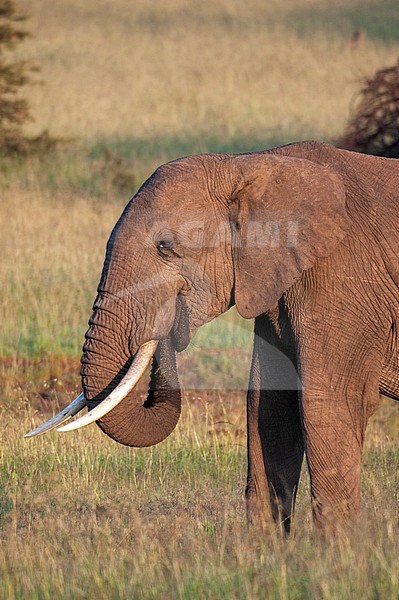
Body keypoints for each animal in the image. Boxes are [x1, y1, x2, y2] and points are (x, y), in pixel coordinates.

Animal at [25, 142, 399, 536]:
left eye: (165, 246)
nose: (169, 323)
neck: (251, 164)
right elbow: (267, 406)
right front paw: (266, 550)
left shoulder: (344, 279)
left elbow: (329, 403)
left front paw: (340, 552)